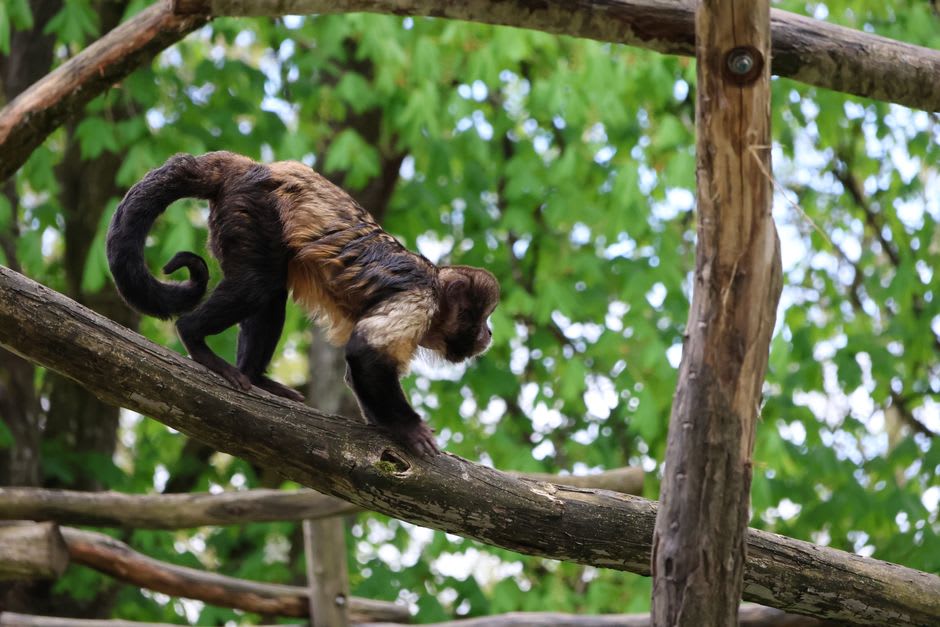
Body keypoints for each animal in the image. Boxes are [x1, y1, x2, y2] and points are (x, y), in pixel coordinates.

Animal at [106, 151, 499, 457]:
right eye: (481, 318)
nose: (489, 333)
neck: (435, 286)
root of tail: (254, 167)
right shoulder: (419, 300)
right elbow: (366, 351)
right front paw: (408, 429)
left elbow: (357, 368)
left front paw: (386, 426)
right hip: (253, 206)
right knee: (257, 285)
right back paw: (196, 340)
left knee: (270, 292)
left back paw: (254, 376)